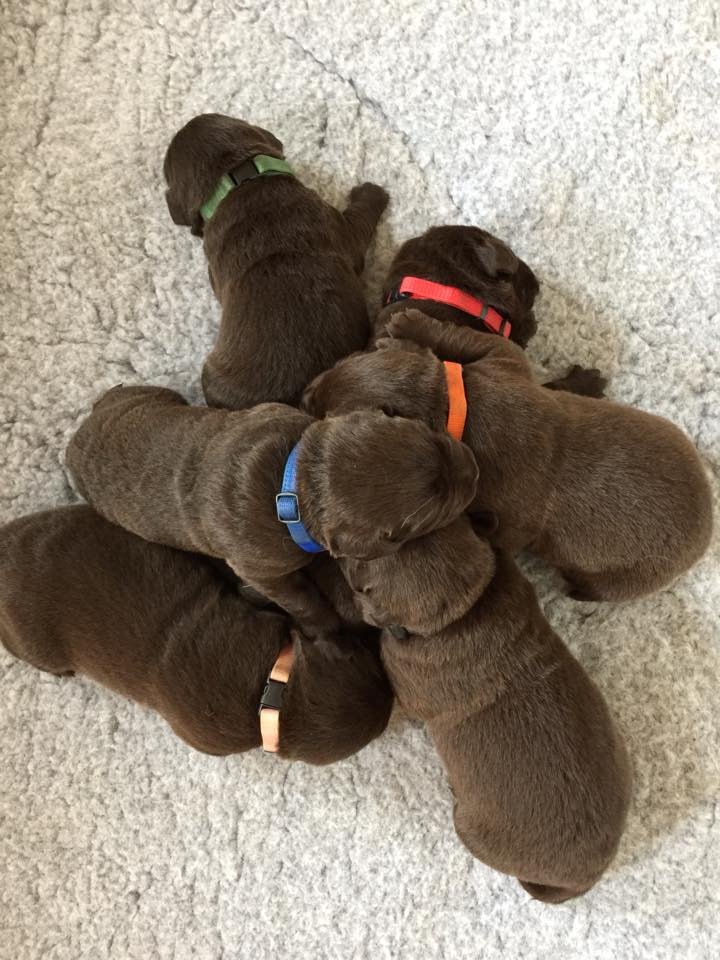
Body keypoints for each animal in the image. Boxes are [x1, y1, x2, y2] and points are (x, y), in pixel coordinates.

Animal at [66, 385, 479, 636]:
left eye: (428, 435)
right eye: (415, 525)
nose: (473, 468)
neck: (293, 483)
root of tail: (77, 437)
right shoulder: (262, 568)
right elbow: (300, 599)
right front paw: (325, 626)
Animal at [305, 310, 712, 601]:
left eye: (327, 414)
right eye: (343, 361)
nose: (306, 394)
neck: (455, 410)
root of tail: (707, 530)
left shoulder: (509, 520)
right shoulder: (503, 363)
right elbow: (473, 338)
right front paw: (410, 325)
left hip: (623, 578)